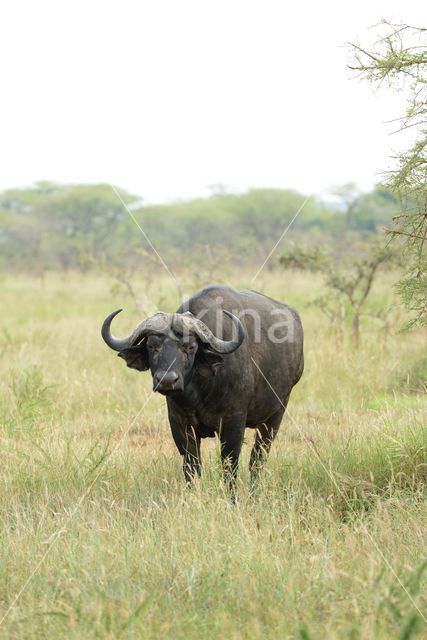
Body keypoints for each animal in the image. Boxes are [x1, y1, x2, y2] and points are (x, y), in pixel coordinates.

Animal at [102, 284, 304, 490]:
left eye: (190, 347)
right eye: (152, 346)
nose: (167, 380)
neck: (198, 394)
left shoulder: (234, 421)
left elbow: (229, 466)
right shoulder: (179, 423)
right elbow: (191, 467)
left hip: (275, 415)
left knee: (258, 459)